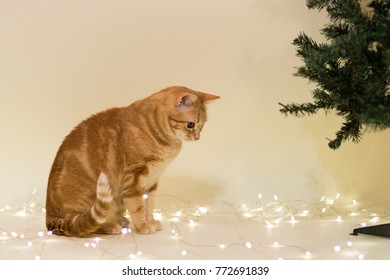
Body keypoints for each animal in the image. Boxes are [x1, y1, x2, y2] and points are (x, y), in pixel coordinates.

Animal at [45, 86, 219, 236]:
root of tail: (50, 215)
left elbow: (149, 204)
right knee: (85, 223)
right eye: (190, 124)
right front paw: (142, 226)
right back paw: (110, 225)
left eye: (202, 125)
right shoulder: (134, 177)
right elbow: (138, 206)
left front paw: (151, 221)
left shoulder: (152, 180)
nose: (197, 137)